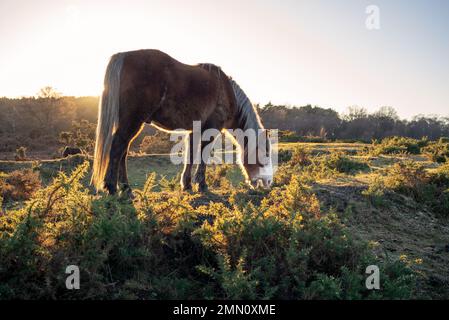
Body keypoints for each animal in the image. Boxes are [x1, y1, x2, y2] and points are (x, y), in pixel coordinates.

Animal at [91, 48, 272, 196]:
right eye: (265, 153)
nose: (268, 182)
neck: (227, 90)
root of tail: (123, 56)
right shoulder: (212, 128)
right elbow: (203, 155)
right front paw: (202, 185)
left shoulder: (195, 130)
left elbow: (190, 156)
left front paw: (187, 185)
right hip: (133, 120)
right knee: (117, 148)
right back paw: (112, 187)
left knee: (123, 151)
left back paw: (125, 189)